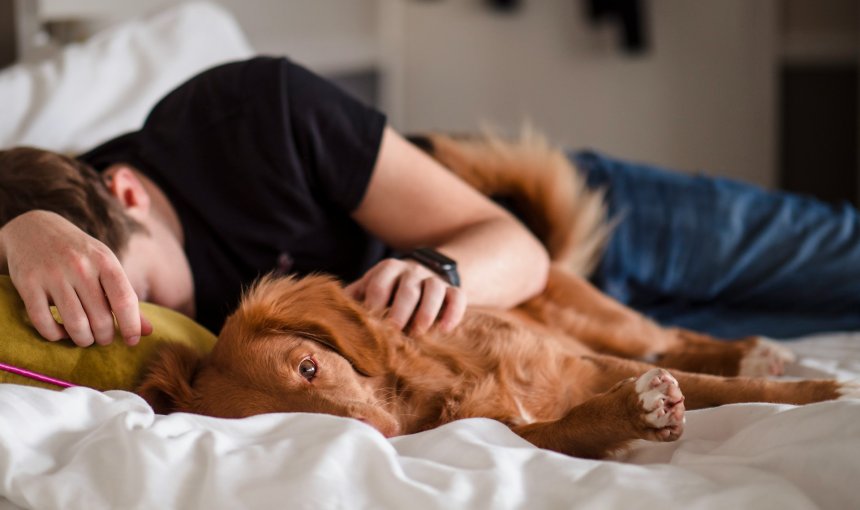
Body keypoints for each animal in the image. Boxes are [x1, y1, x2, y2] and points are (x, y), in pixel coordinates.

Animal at [138, 131, 856, 458]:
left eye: (310, 367)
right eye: (284, 421)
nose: (381, 434)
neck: (432, 385)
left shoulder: (583, 360)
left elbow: (731, 390)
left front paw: (826, 391)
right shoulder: (512, 429)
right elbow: (573, 423)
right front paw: (634, 412)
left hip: (609, 323)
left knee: (673, 336)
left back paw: (755, 350)